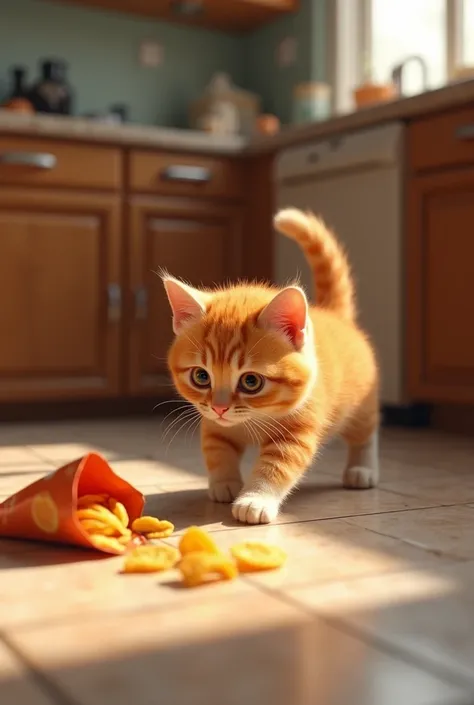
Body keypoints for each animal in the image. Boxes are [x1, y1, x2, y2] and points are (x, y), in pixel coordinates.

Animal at [162, 209, 378, 524]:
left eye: (251, 382)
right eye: (201, 376)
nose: (220, 407)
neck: (253, 419)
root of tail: (334, 314)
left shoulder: (298, 430)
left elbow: (278, 464)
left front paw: (255, 499)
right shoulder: (213, 423)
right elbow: (217, 449)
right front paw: (224, 483)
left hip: (360, 403)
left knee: (365, 432)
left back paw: (362, 469)